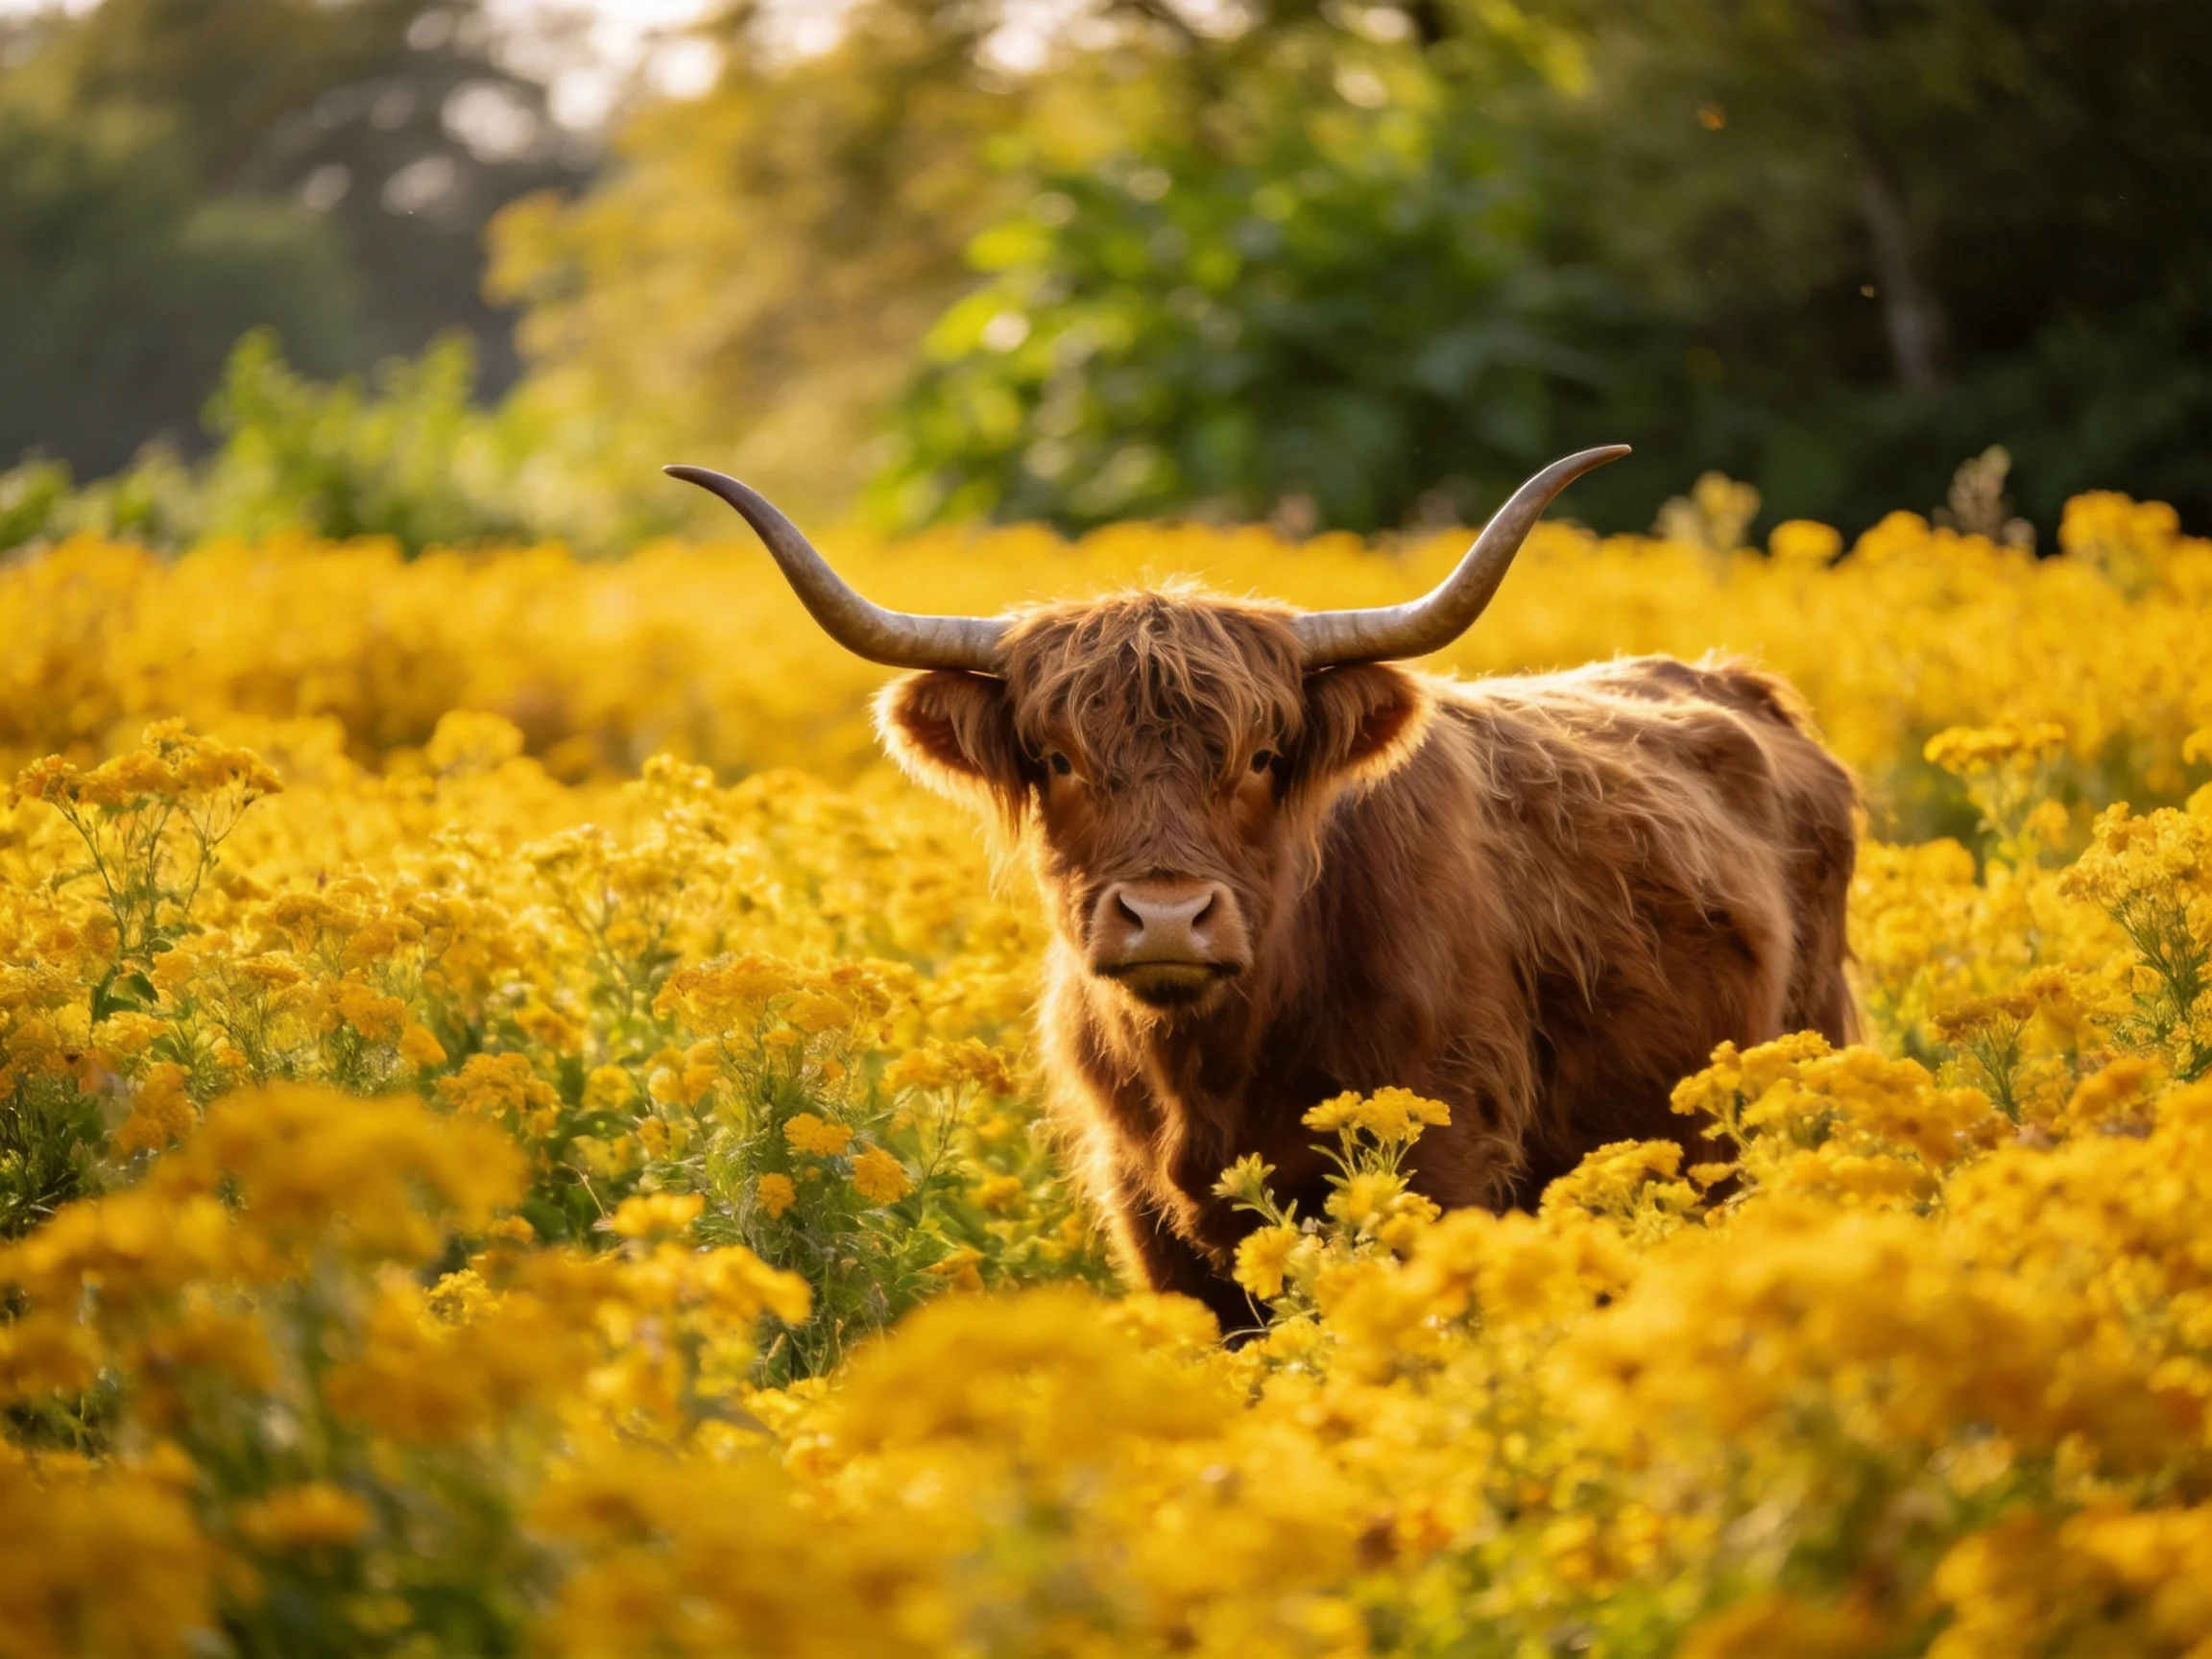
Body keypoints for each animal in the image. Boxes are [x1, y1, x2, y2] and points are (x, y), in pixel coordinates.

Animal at [669, 448, 1858, 1331]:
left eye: (1260, 756)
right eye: (1056, 758)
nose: (1165, 918)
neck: (1220, 1063)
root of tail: (1735, 685)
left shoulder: (1446, 1164)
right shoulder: (1146, 1211)